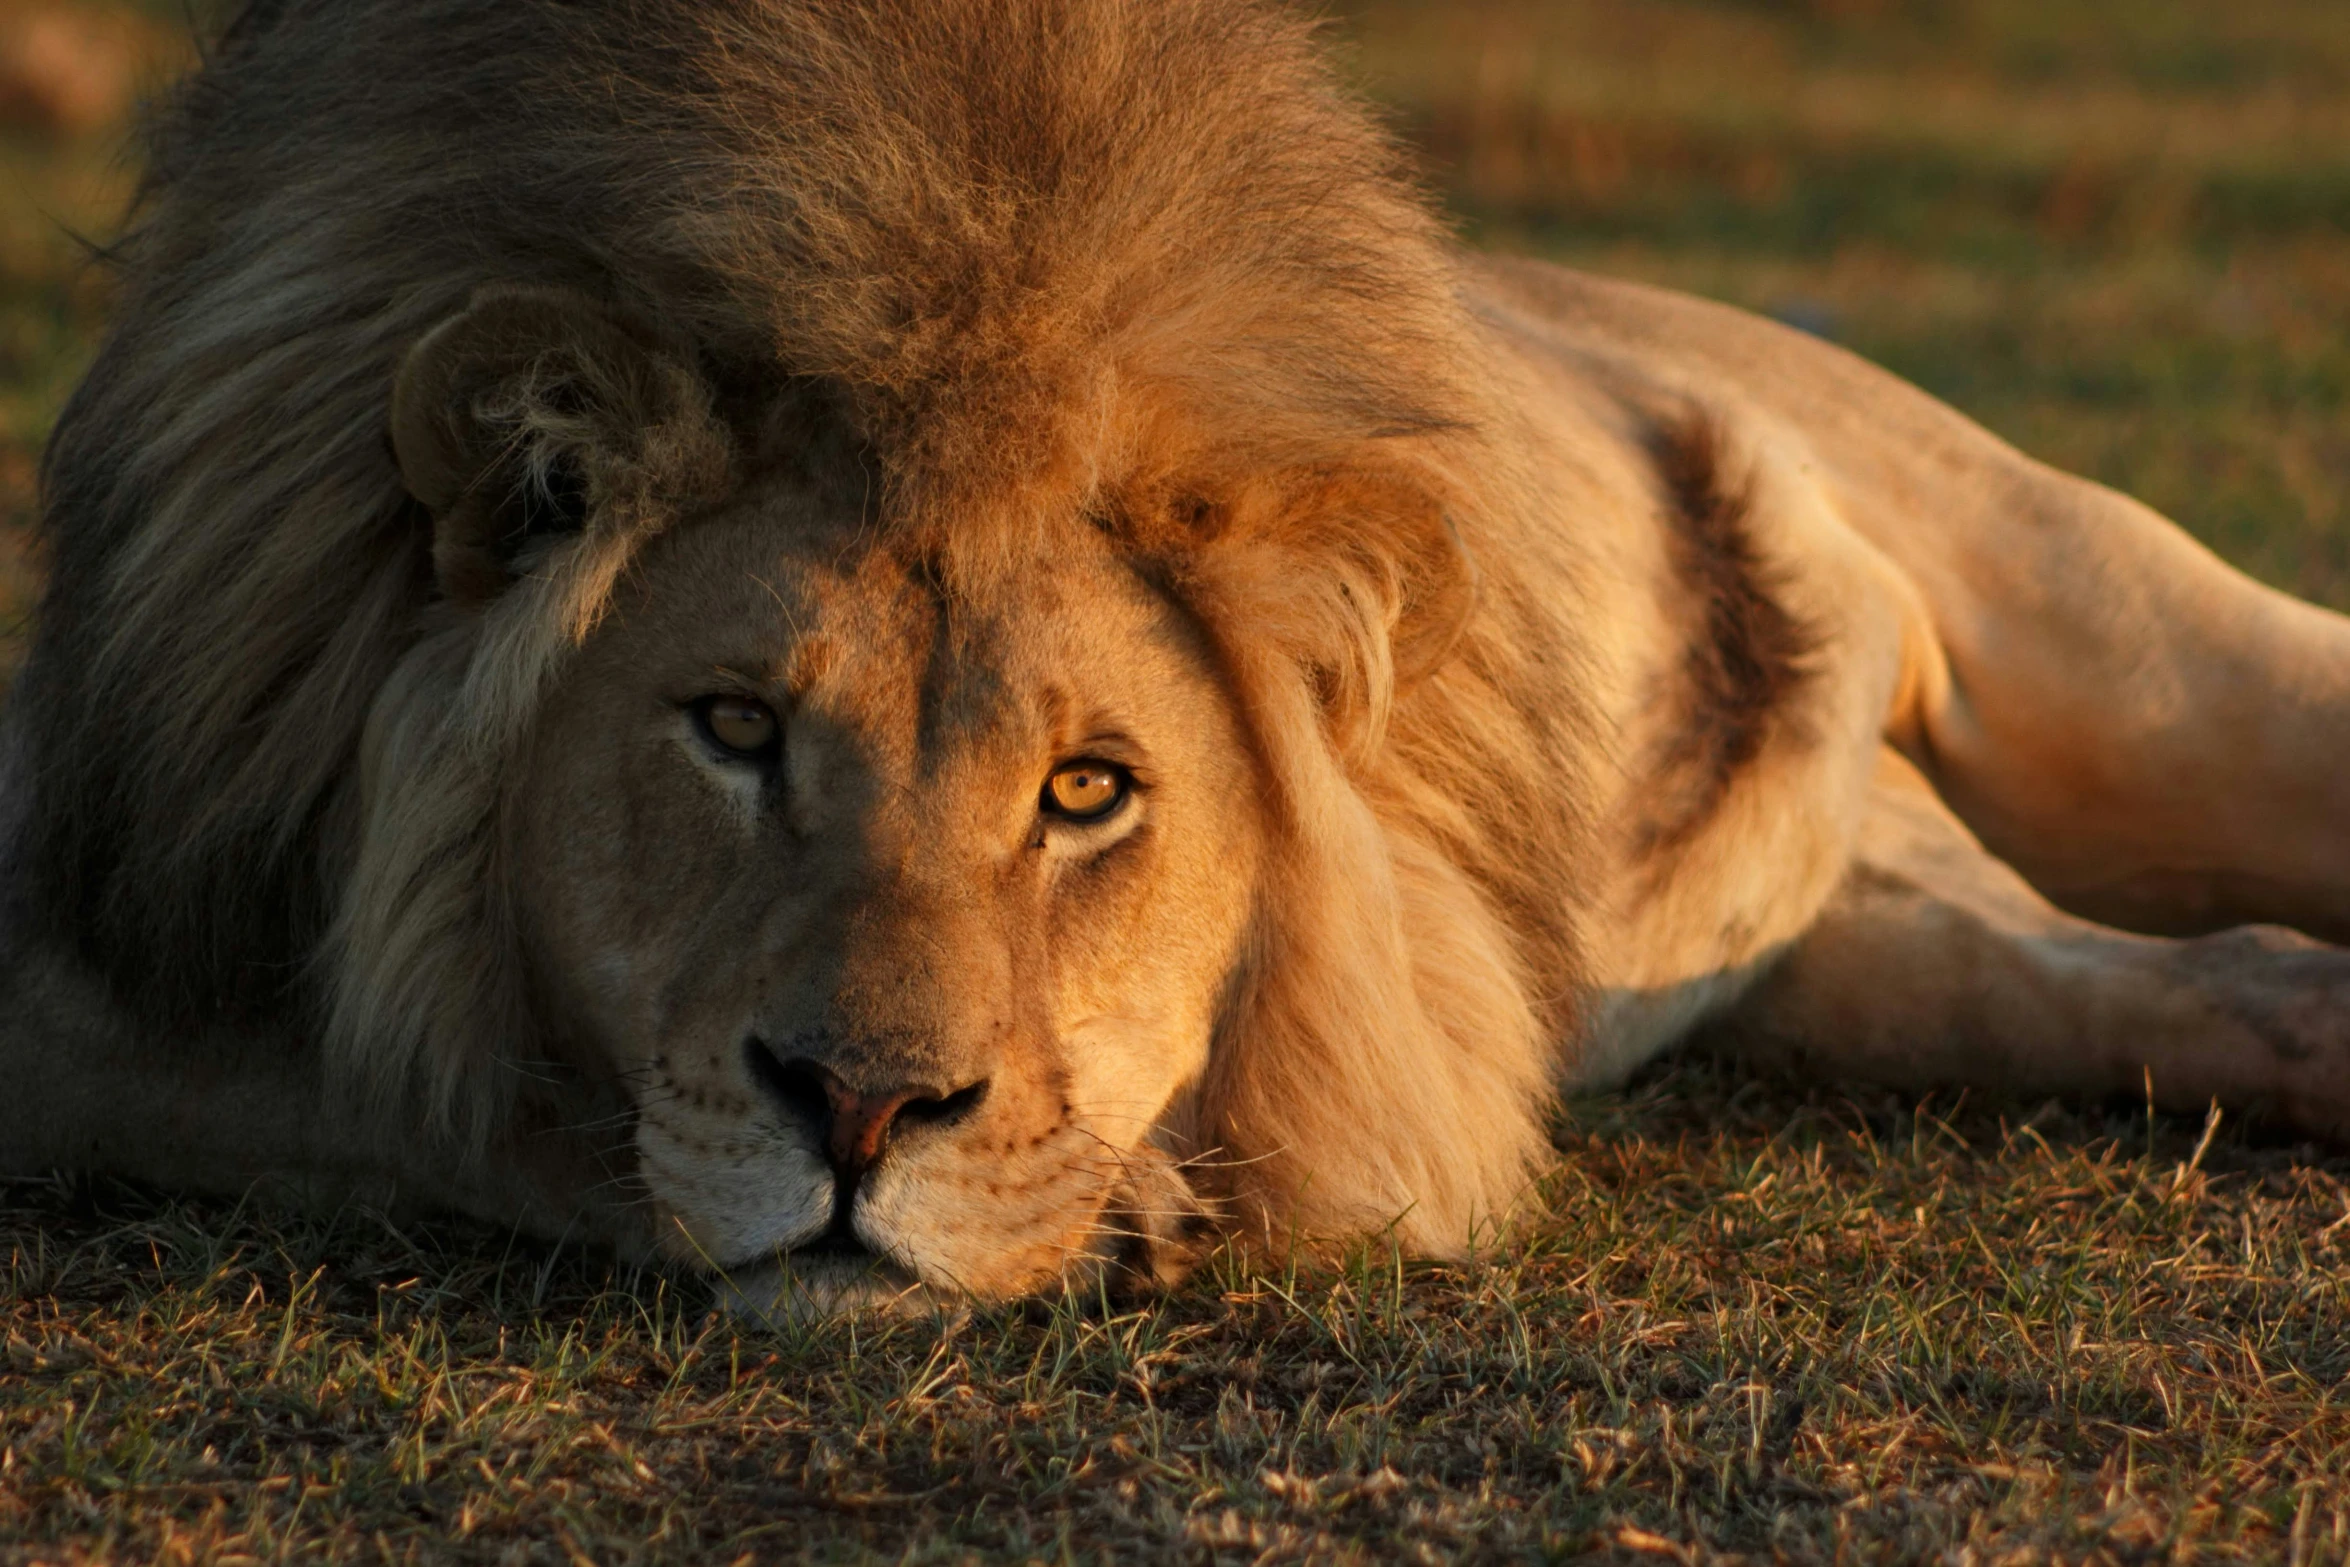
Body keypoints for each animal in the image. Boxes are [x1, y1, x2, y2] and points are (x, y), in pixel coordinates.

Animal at [4, 0, 2350, 1315]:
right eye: (736, 729)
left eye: (1087, 791)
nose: (865, 1112)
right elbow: (400, 1097)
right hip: (1862, 949)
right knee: (2188, 977)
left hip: (2115, 628)